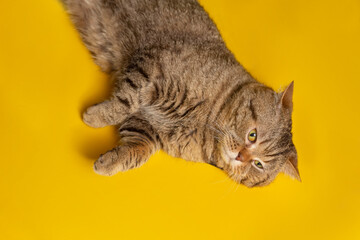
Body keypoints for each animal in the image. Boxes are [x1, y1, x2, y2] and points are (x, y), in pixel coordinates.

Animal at [60, 0, 300, 188]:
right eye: (253, 135)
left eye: (258, 164)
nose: (241, 156)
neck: (204, 124)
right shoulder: (152, 66)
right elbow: (126, 101)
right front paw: (94, 117)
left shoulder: (147, 127)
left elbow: (138, 151)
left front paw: (108, 163)